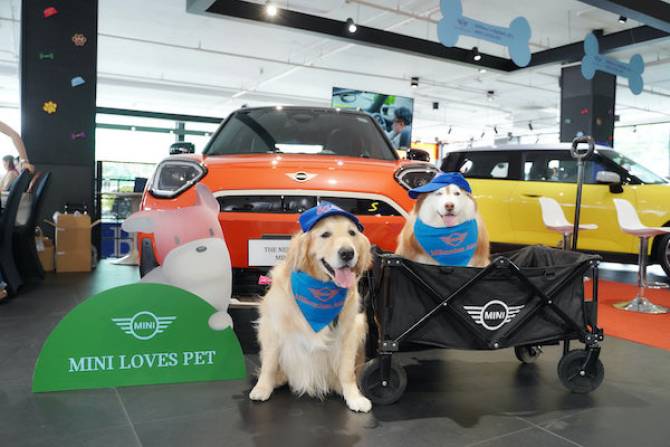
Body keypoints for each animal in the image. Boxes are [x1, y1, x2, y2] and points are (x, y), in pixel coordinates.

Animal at [249, 202, 373, 412]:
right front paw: (262, 388)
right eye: (325, 234)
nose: (348, 253)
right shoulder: (272, 327)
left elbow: (347, 371)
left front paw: (354, 397)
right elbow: (269, 364)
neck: (321, 289)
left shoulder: (350, 331)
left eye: (352, 233)